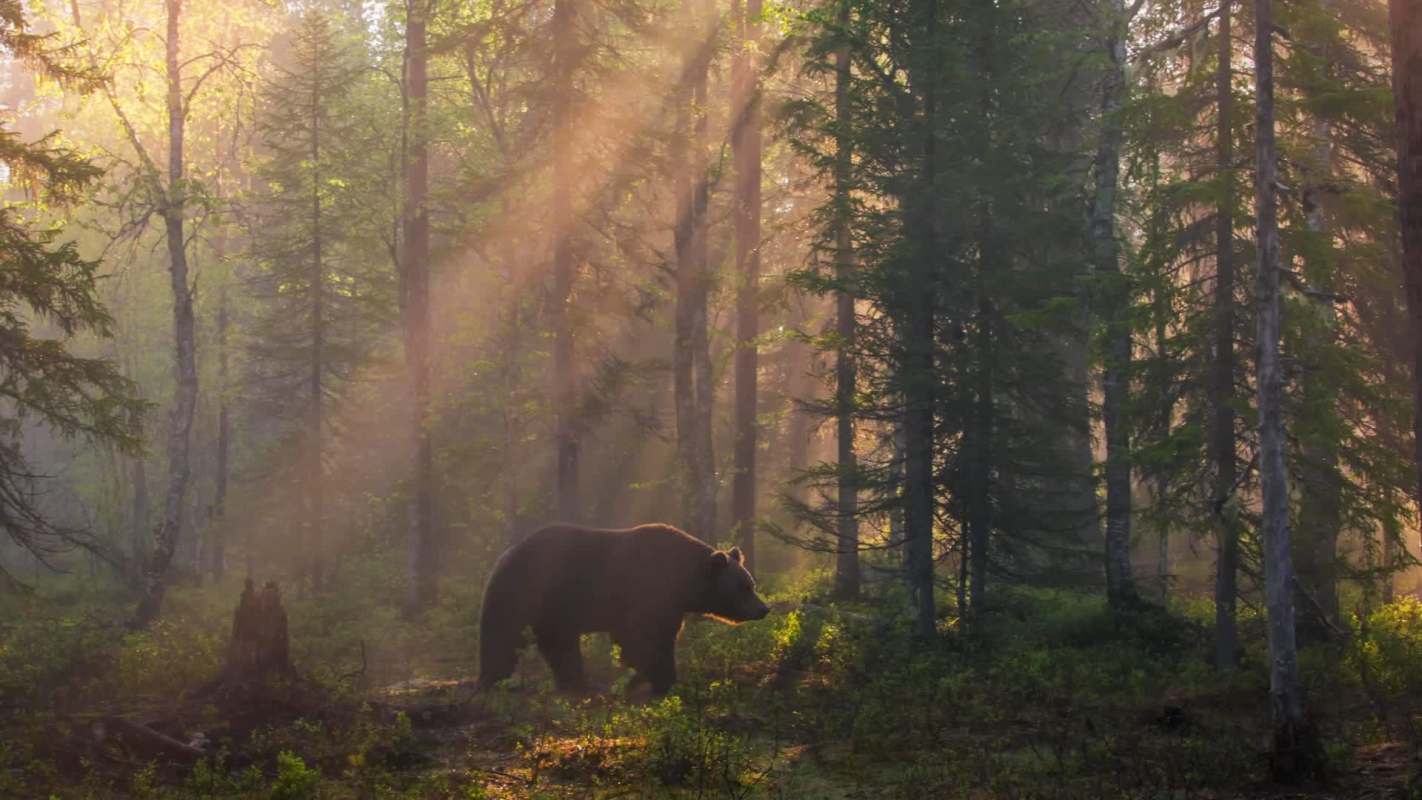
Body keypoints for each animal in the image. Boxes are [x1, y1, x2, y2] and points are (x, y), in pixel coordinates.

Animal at [476, 523, 770, 695]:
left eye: (751, 583)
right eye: (743, 587)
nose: (763, 608)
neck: (683, 580)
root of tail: (506, 554)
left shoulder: (667, 605)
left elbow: (652, 639)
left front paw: (642, 678)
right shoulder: (646, 594)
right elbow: (643, 640)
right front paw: (660, 679)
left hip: (553, 609)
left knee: (558, 645)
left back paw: (577, 684)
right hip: (529, 590)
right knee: (504, 634)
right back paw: (492, 680)